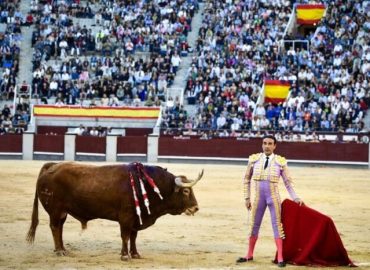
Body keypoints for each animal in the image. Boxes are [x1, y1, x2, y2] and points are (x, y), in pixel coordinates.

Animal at [27, 161, 204, 260]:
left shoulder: (137, 218)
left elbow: (133, 237)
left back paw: (63, 249)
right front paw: (125, 255)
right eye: (186, 191)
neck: (147, 184)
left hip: (62, 212)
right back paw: (59, 251)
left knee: (60, 228)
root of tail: (51, 167)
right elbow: (125, 236)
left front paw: (135, 254)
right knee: (55, 227)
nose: (195, 208)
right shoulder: (126, 217)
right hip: (55, 210)